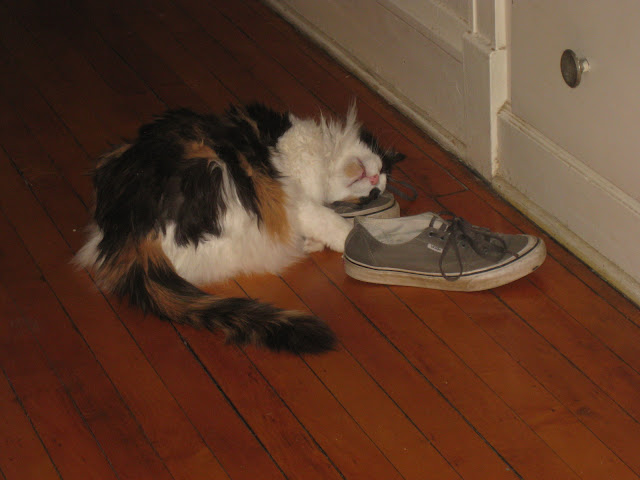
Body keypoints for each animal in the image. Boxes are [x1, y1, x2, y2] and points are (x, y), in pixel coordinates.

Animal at [75, 103, 405, 354]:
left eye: (372, 195)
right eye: (376, 181)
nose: (374, 182)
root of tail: (126, 230)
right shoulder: (294, 196)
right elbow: (331, 222)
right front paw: (357, 237)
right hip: (220, 179)